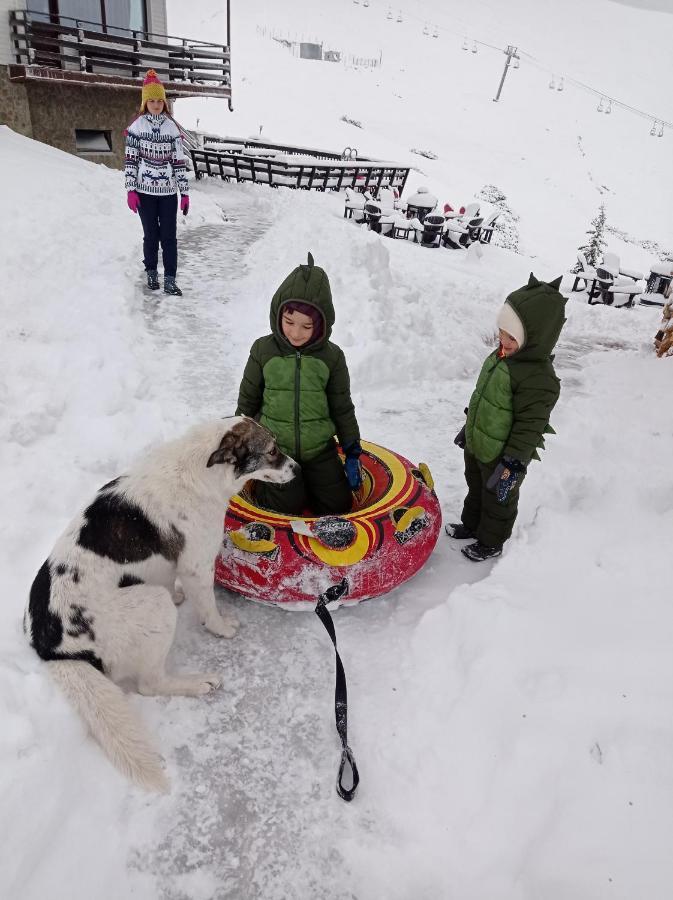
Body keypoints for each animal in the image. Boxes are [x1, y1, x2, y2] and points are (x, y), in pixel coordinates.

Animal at [23, 418, 296, 792]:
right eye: (272, 450)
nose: (297, 468)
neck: (202, 469)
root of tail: (52, 648)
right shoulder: (196, 566)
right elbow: (208, 608)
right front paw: (222, 628)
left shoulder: (168, 568)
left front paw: (183, 597)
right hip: (153, 604)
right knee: (150, 684)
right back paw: (198, 683)